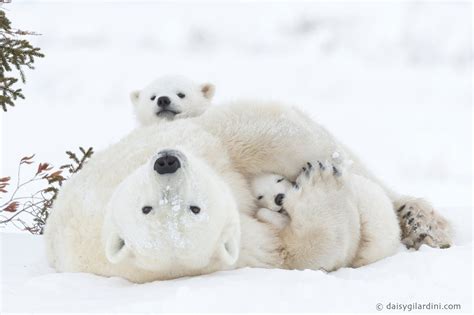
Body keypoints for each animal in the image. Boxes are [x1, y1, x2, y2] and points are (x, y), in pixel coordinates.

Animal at [44, 102, 452, 284]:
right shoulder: (238, 250)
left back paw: (422, 221)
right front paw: (318, 185)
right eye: (195, 209)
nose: (167, 162)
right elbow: (296, 252)